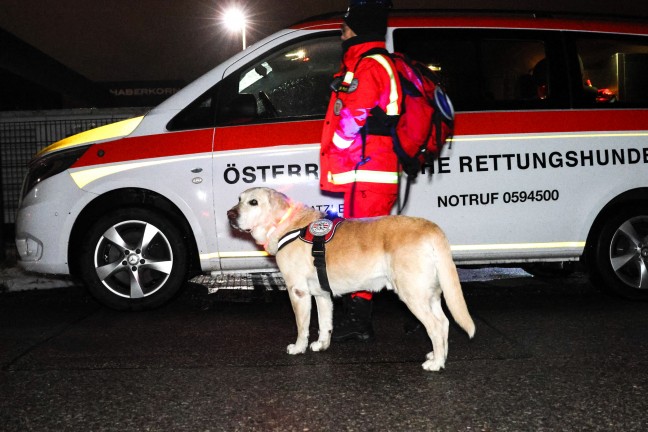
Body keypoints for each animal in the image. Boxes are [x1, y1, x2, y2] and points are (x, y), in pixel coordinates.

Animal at [228, 187, 476, 370]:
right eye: (239, 199)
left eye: (253, 202)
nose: (230, 214)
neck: (286, 224)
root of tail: (431, 228)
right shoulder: (322, 295)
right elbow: (324, 324)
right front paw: (321, 345)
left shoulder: (298, 292)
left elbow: (302, 326)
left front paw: (298, 348)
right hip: (430, 294)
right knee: (444, 323)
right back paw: (439, 356)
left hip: (412, 294)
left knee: (435, 326)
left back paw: (436, 363)